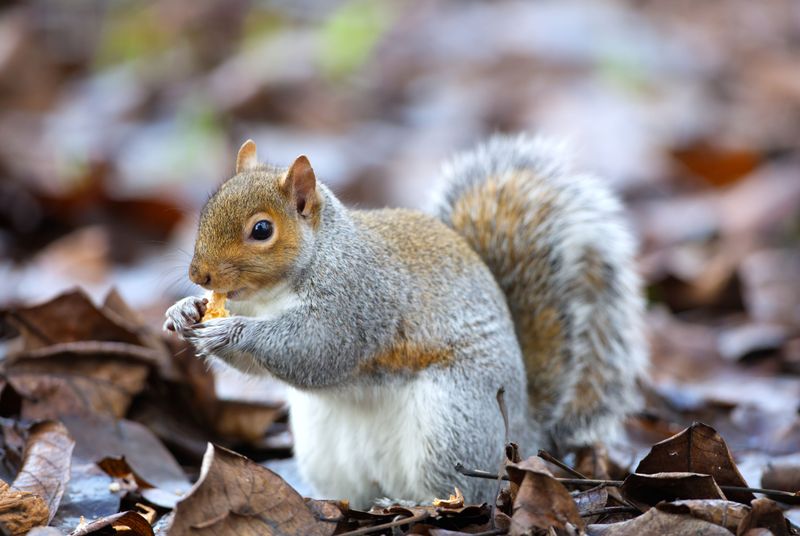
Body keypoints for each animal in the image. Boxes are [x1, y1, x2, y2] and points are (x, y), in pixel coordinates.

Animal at [164, 134, 647, 508]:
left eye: (262, 230)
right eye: (207, 207)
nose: (199, 275)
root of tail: (526, 431)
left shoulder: (358, 300)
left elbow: (318, 347)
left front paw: (232, 331)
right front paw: (184, 311)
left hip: (452, 423)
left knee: (462, 491)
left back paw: (414, 504)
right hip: (324, 446)